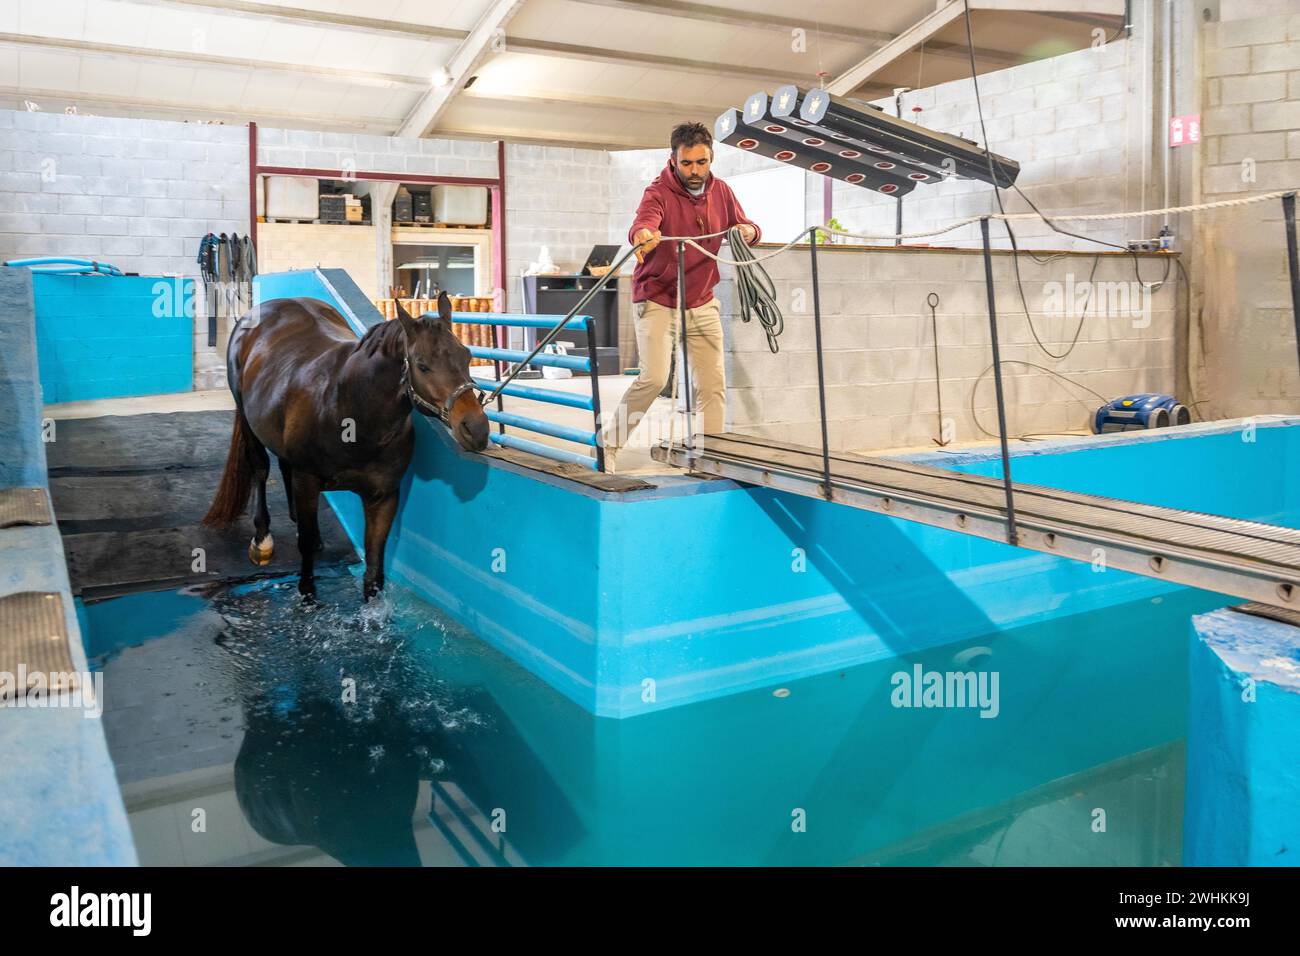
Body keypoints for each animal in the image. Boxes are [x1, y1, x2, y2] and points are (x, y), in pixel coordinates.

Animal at [205, 295, 488, 600]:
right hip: (247, 420)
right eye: (423, 365)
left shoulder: (383, 496)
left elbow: (374, 567)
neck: (348, 406)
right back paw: (262, 540)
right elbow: (306, 556)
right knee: (260, 468)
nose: (476, 428)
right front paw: (307, 596)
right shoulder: (307, 480)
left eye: (466, 356)